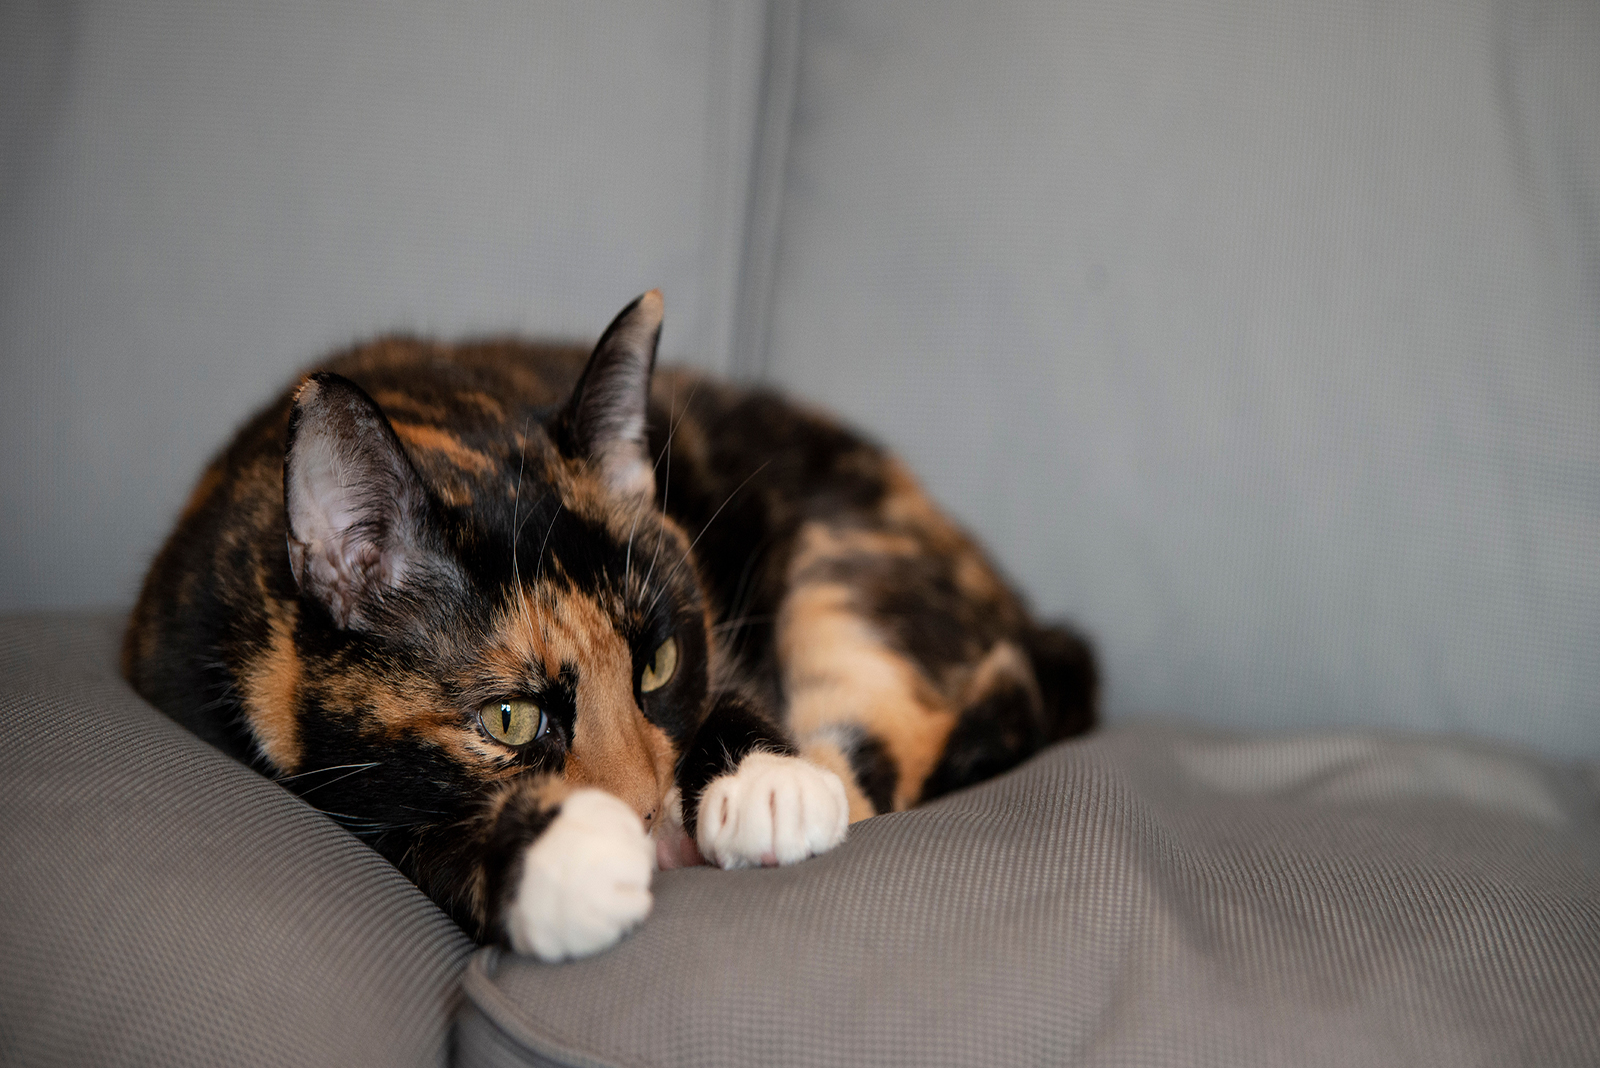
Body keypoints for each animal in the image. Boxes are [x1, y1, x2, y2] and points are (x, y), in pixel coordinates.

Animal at [124, 289, 1100, 959]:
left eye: (659, 663)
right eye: (508, 719)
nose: (644, 816)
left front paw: (770, 788)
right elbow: (403, 827)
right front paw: (571, 863)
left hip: (852, 571)